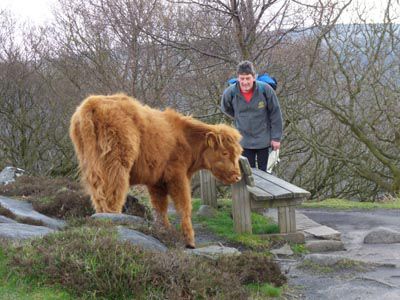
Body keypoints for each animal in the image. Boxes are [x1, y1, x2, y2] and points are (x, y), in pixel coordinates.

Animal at [69, 94, 242, 248]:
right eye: (225, 153)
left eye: (237, 153)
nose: (237, 176)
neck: (187, 140)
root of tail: (92, 103)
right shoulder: (177, 175)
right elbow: (184, 205)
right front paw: (189, 240)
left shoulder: (156, 180)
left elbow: (160, 207)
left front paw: (164, 231)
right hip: (116, 164)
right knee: (113, 193)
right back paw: (113, 219)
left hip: (90, 164)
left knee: (98, 194)